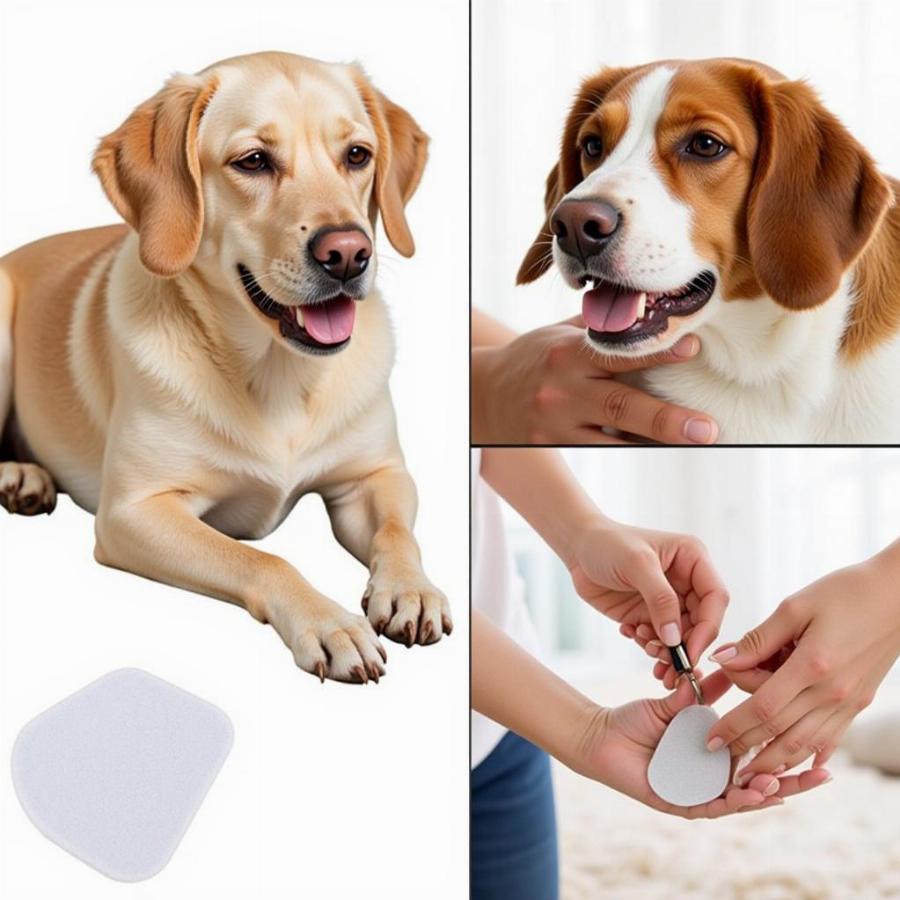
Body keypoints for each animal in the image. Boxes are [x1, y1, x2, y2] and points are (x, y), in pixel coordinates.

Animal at [0, 51, 450, 684]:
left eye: (358, 155)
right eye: (254, 161)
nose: (348, 254)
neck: (280, 374)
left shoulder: (375, 477)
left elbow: (397, 534)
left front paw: (412, 588)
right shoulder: (135, 511)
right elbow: (263, 558)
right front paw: (329, 623)